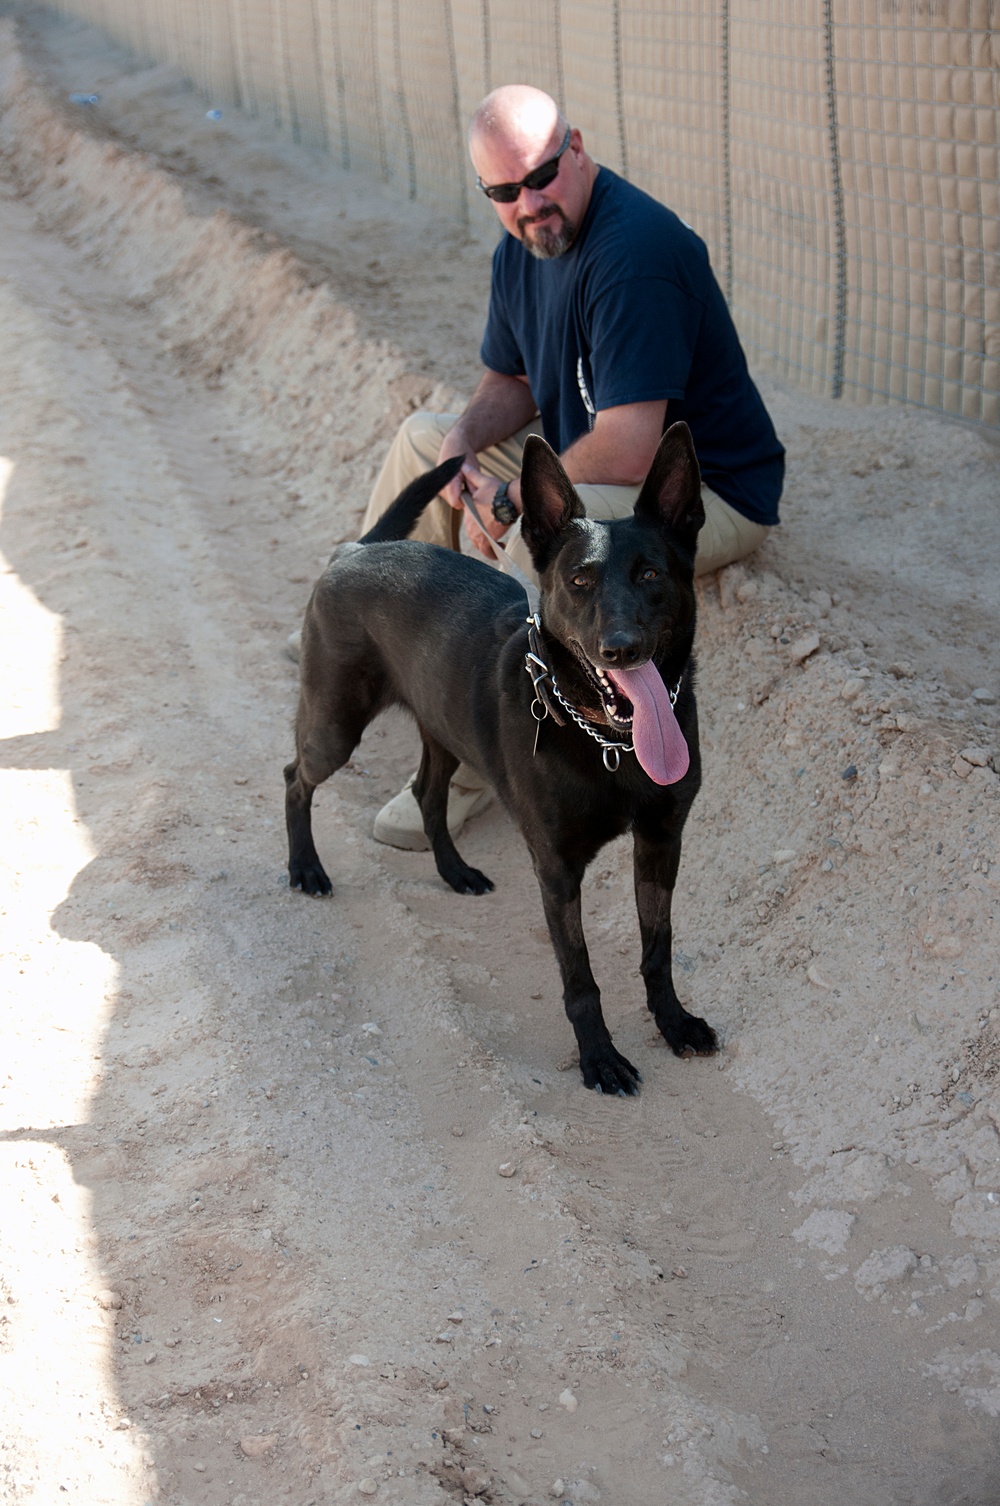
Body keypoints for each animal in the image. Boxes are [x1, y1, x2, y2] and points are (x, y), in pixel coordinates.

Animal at [284, 424, 713, 1096]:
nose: (620, 649)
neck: (610, 743)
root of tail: (354, 549)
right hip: (333, 726)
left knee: (428, 793)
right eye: (579, 581)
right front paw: (599, 1058)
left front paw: (673, 1022)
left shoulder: (662, 840)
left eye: (650, 573)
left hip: (441, 728)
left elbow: (658, 946)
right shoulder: (557, 869)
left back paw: (454, 871)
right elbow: (580, 976)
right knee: (294, 779)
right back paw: (305, 867)